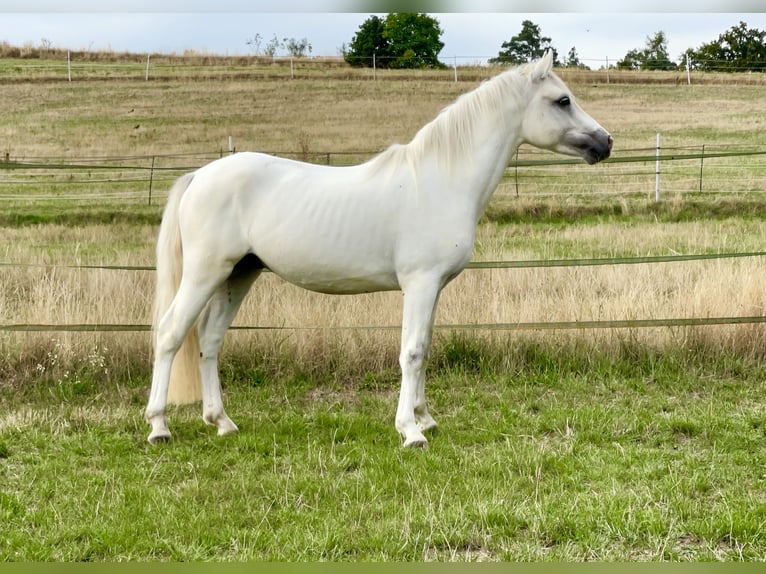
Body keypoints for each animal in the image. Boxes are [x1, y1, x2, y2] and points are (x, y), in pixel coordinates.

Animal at [142, 53, 612, 450]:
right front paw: (410, 431)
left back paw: (222, 422)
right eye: (562, 100)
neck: (442, 180)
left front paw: (425, 419)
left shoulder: (433, 288)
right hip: (205, 273)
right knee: (170, 334)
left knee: (209, 340)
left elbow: (424, 347)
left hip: (239, 274)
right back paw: (159, 427)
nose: (605, 142)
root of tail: (200, 175)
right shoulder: (419, 283)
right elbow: (412, 352)